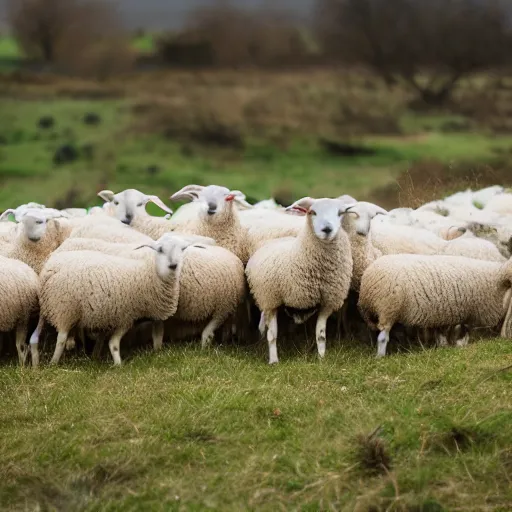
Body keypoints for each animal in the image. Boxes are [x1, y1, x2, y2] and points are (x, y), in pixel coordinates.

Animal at [38, 234, 210, 366]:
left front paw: (157, 353)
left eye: (183, 249)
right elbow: (114, 343)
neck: (150, 271)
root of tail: (51, 267)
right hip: (64, 307)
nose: (173, 265)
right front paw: (118, 365)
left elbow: (158, 336)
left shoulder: (152, 313)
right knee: (61, 338)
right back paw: (54, 362)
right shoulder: (126, 316)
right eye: (160, 249)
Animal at [247, 196, 352, 364]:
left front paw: (322, 359)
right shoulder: (271, 300)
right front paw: (274, 361)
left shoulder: (327, 302)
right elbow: (273, 334)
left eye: (339, 213)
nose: (327, 229)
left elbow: (321, 335)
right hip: (266, 297)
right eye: (313, 212)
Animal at [358, 254, 512, 358]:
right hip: (388, 308)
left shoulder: (442, 314)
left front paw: (444, 346)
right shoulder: (470, 312)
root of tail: (368, 277)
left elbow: (442, 334)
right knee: (383, 336)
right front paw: (460, 345)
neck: (497, 279)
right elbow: (465, 332)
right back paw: (380, 356)